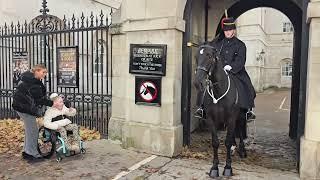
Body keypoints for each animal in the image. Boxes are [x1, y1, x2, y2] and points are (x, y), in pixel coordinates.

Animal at [192, 43, 248, 177]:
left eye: (209, 56)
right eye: (196, 57)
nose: (197, 83)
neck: (219, 91)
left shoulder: (231, 118)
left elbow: (227, 142)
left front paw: (228, 167)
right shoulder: (211, 120)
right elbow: (215, 142)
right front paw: (214, 168)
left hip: (240, 116)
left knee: (240, 129)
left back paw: (242, 150)